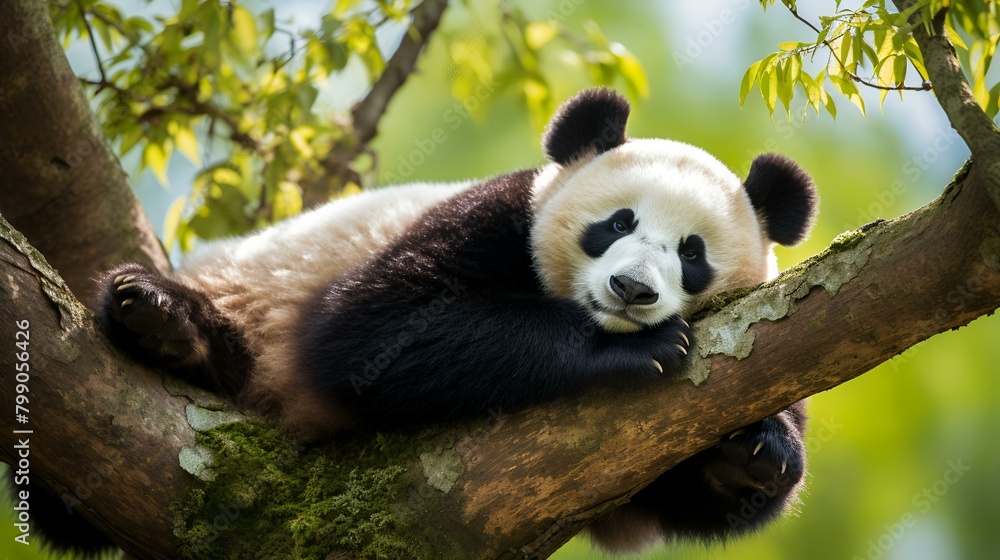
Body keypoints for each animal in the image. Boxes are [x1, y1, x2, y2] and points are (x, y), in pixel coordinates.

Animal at [87, 88, 816, 553]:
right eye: (616, 224)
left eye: (692, 253)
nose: (631, 290)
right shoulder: (496, 218)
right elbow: (370, 331)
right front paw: (632, 349)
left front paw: (753, 450)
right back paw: (161, 317)